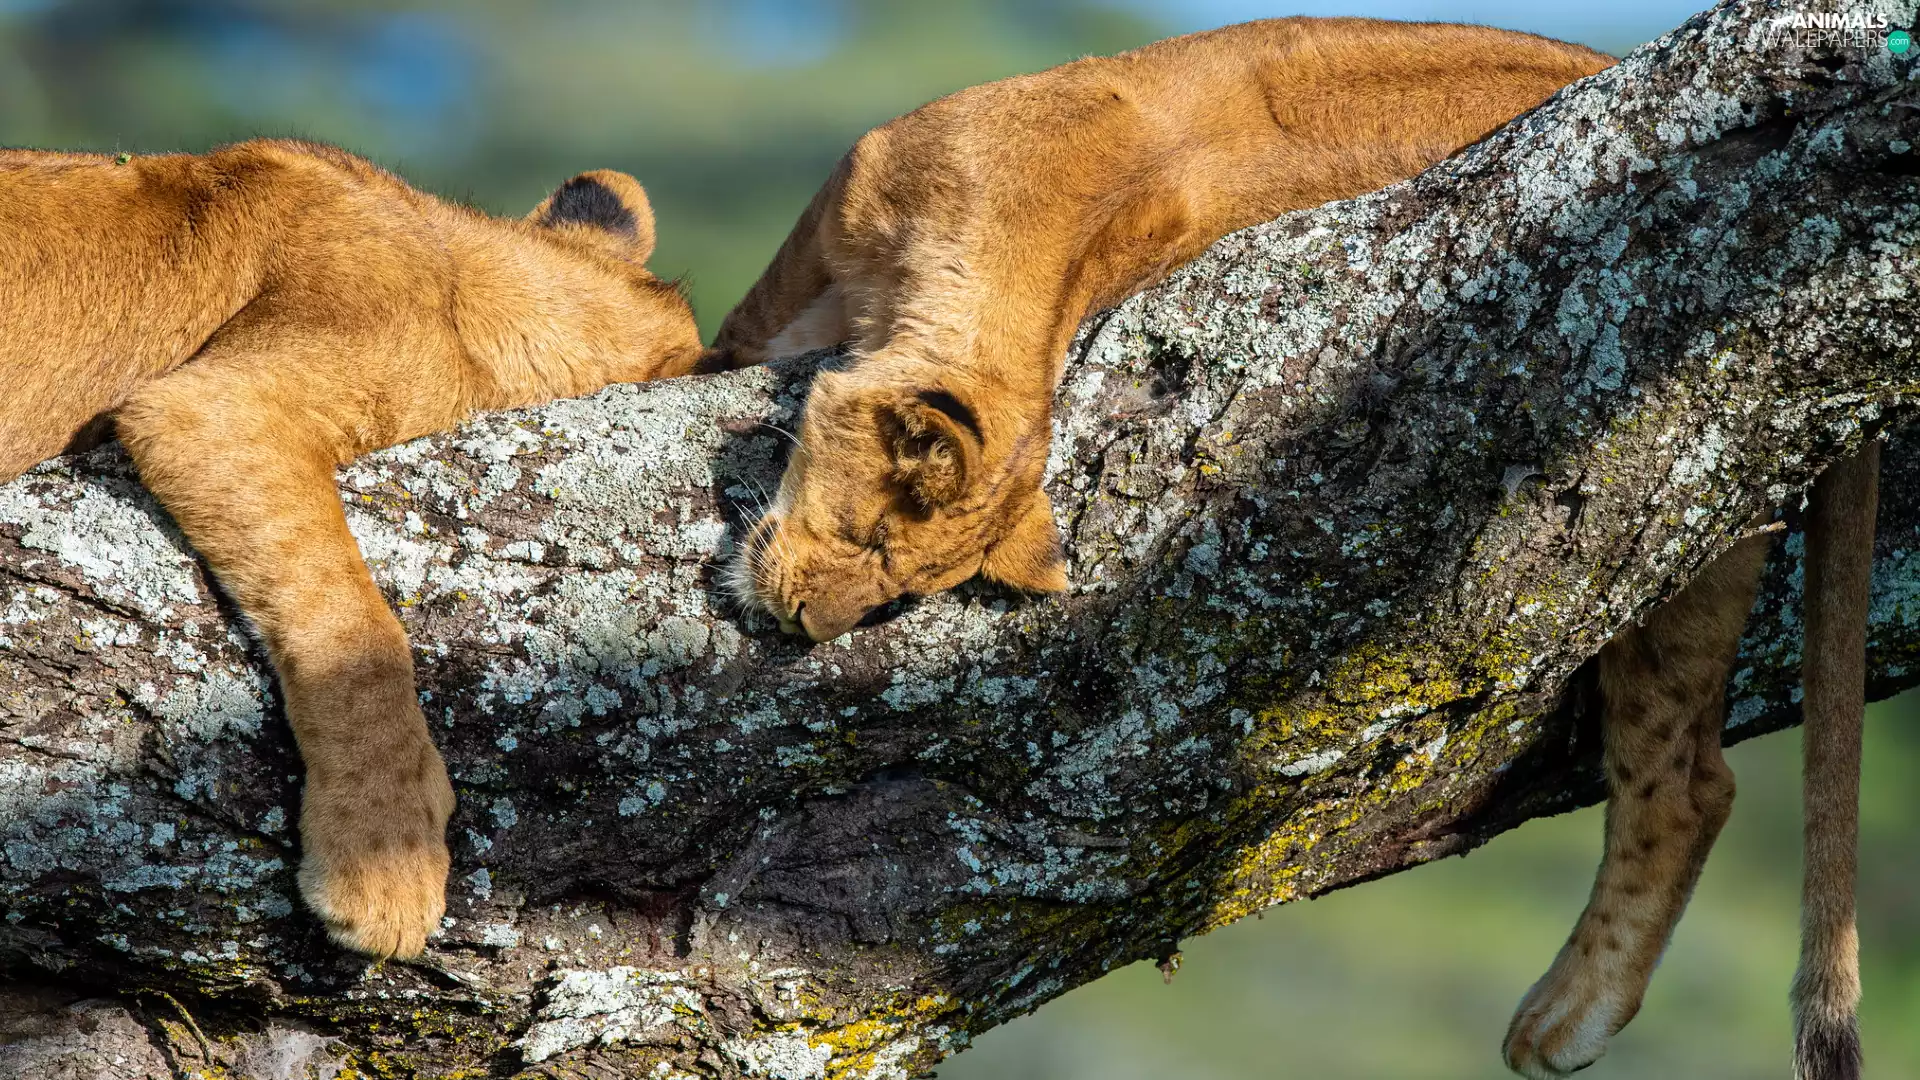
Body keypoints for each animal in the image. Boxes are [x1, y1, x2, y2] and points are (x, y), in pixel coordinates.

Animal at [706, 18, 1877, 1079]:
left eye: (882, 579)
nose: (804, 625)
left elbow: (726, 343)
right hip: (1698, 494)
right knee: (1694, 775)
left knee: (1683, 787)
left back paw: (1559, 1020)